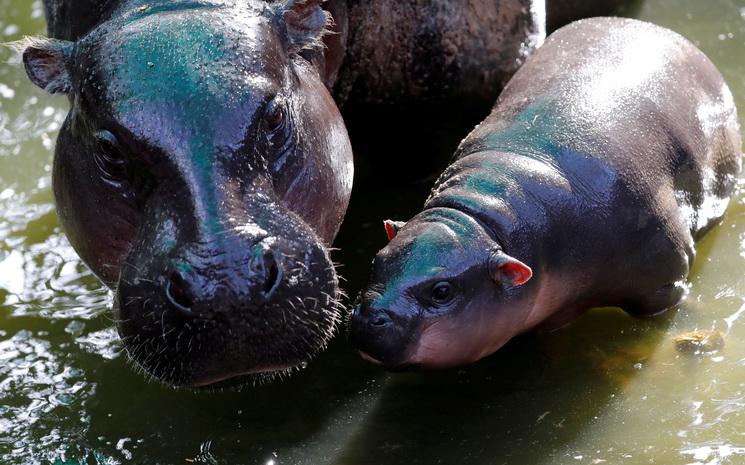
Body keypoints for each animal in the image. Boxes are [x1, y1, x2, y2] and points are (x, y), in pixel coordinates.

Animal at [351, 17, 742, 370]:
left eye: (442, 291)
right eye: (377, 260)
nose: (370, 317)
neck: (483, 221)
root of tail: (651, 26)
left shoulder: (663, 277)